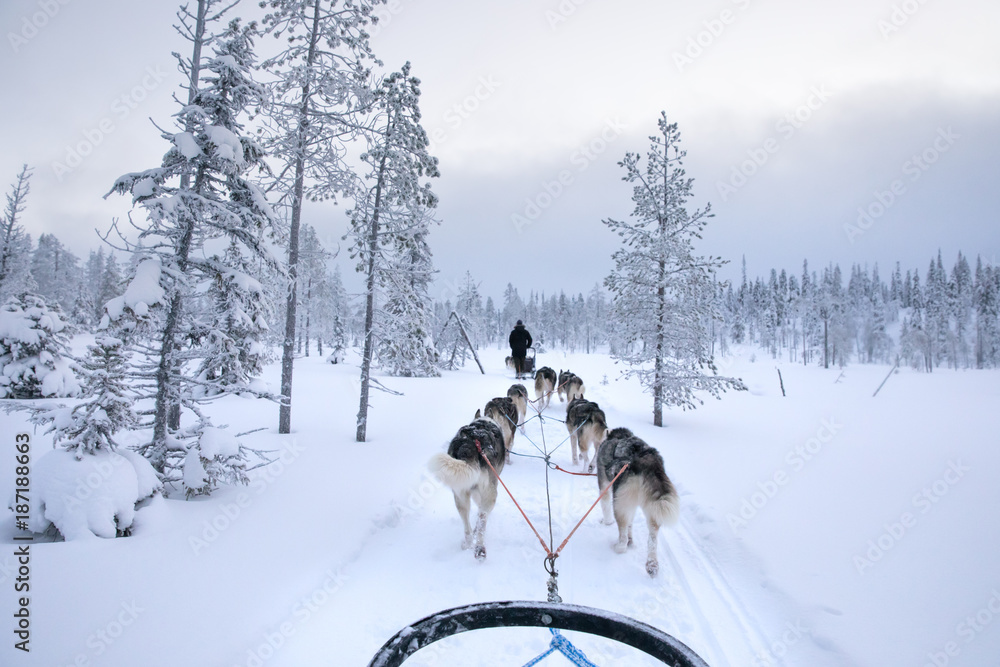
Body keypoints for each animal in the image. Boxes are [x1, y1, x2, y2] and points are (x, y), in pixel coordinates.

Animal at [430, 420, 508, 560]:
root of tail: (470, 442)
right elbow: (480, 510)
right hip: (490, 494)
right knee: (482, 520)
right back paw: (480, 547)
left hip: (460, 495)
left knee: (466, 524)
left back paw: (468, 543)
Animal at [592, 430, 680, 576]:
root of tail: (647, 460)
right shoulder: (631, 506)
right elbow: (630, 524)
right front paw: (631, 540)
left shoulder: (605, 486)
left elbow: (605, 507)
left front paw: (607, 522)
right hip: (650, 509)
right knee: (652, 539)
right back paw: (652, 564)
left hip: (619, 505)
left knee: (622, 537)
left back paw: (619, 547)